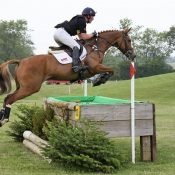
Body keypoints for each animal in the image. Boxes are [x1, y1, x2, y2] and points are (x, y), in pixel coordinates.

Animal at [0, 28, 135, 126]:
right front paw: (100, 80)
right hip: (30, 88)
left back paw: (2, 118)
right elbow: (111, 70)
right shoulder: (94, 68)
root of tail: (21, 61)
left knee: (7, 98)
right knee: (10, 99)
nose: (133, 55)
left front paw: (99, 80)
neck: (96, 48)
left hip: (22, 87)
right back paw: (4, 119)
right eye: (129, 40)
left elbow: (109, 71)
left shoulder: (93, 70)